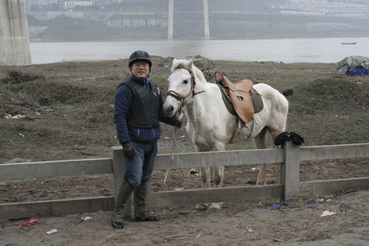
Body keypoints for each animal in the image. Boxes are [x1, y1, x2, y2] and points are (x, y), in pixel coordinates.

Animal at [163, 58, 288, 209]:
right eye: (169, 80)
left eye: (185, 81)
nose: (168, 108)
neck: (205, 110)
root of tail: (279, 94)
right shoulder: (199, 148)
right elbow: (204, 175)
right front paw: (203, 203)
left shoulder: (218, 147)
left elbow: (217, 176)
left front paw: (216, 204)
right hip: (259, 134)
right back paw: (260, 186)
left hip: (277, 132)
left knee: (279, 159)